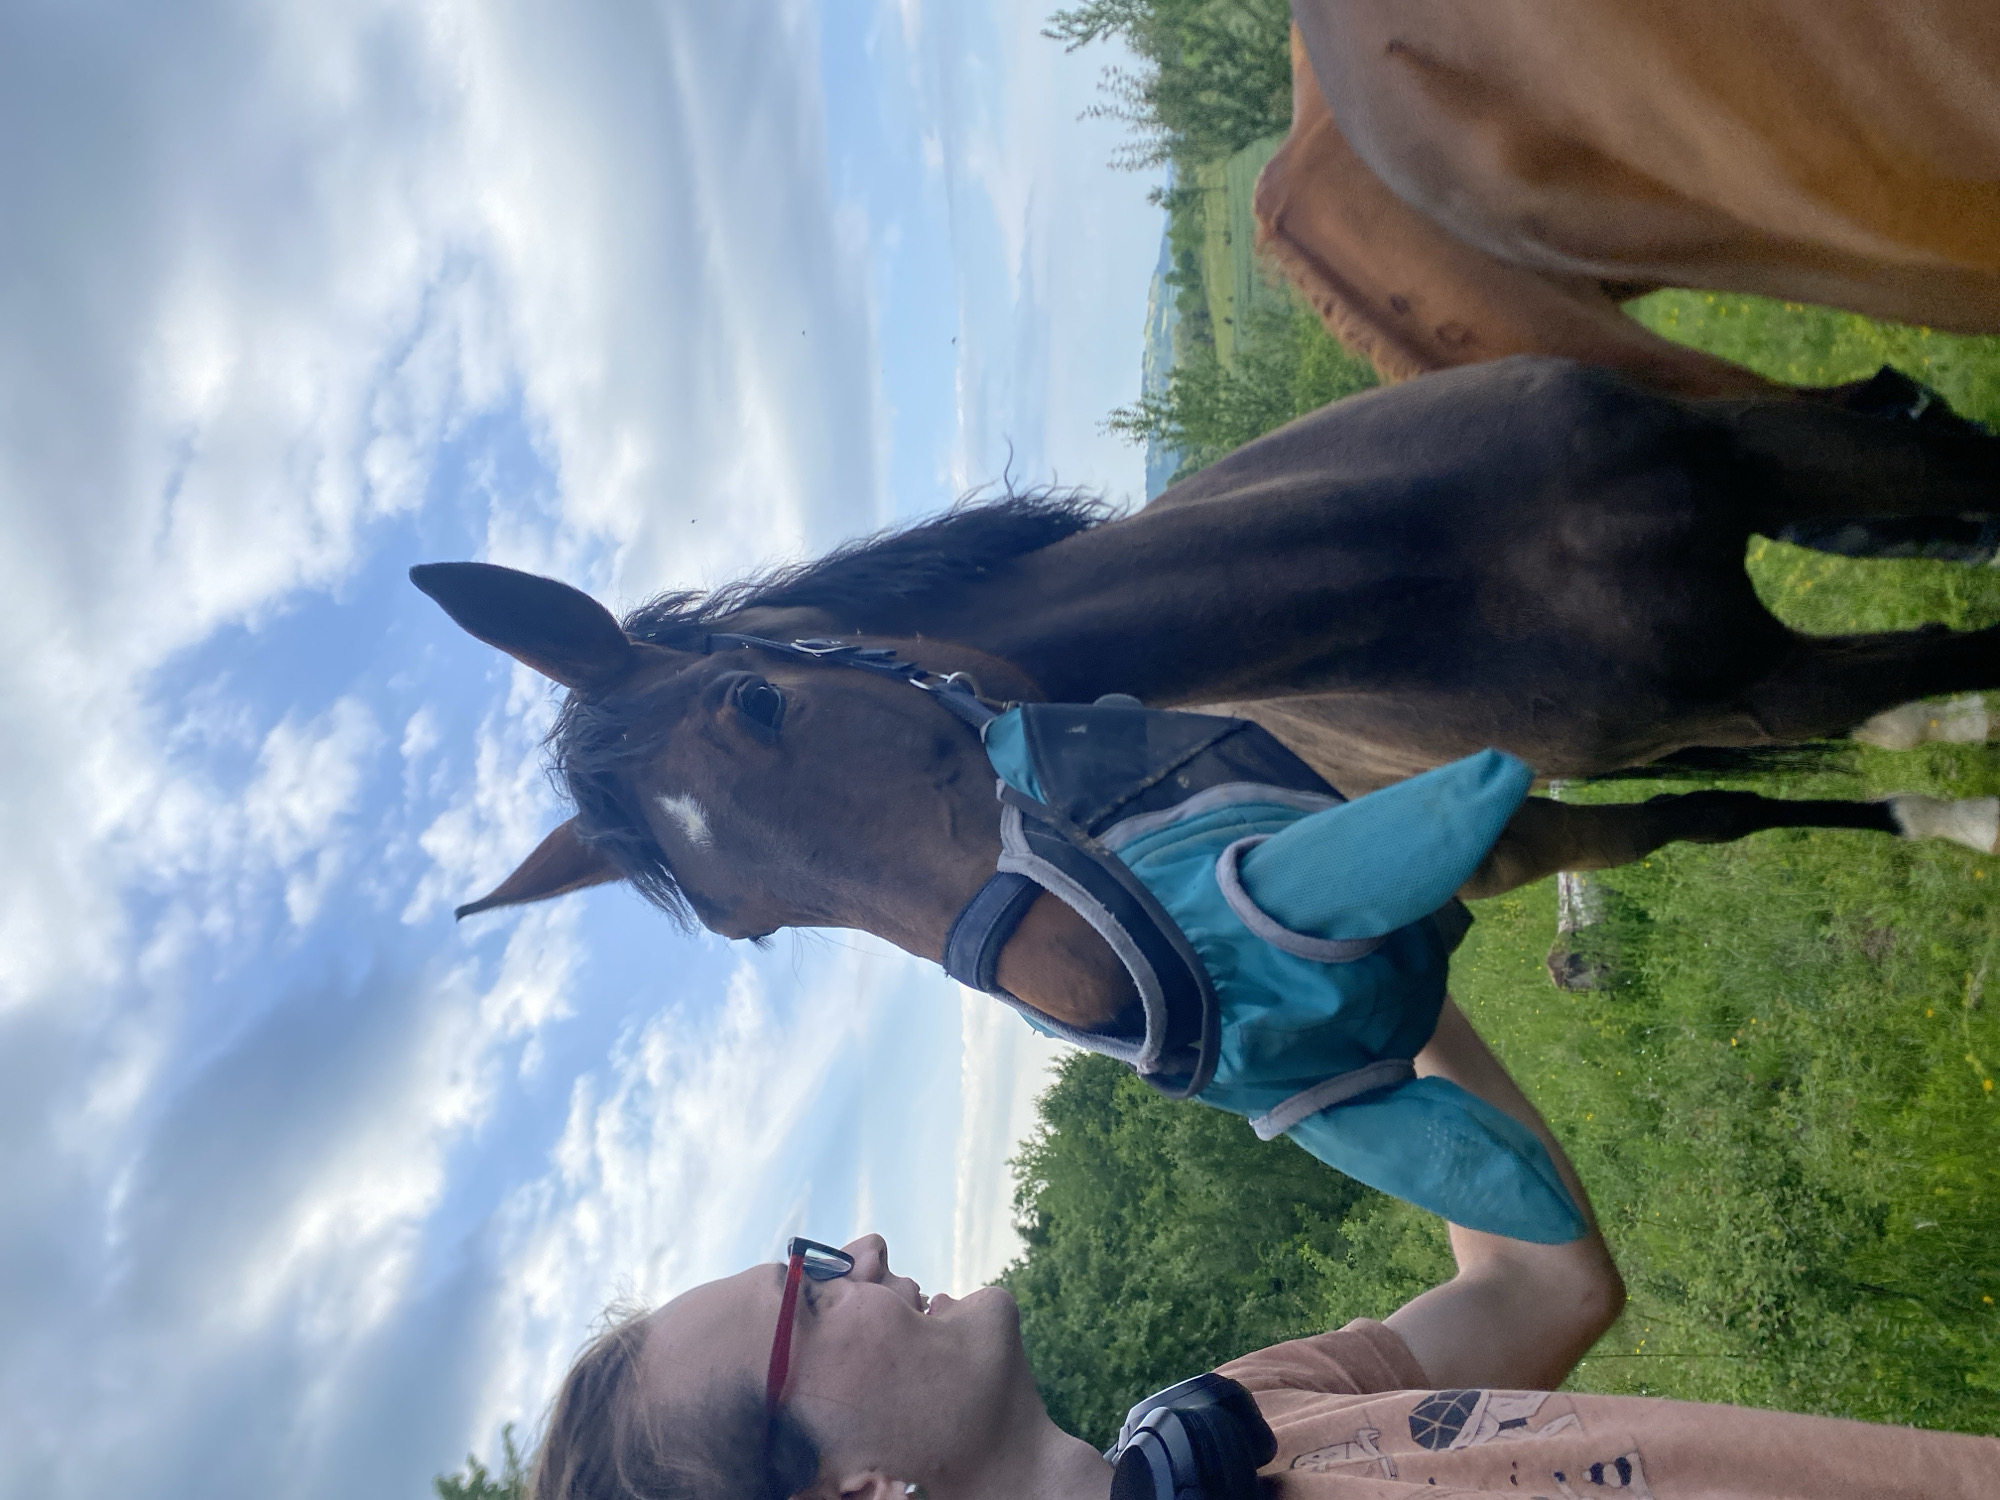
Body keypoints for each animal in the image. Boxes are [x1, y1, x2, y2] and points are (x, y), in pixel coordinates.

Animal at [412, 357, 2000, 1032]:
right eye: (750, 924)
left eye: (758, 704)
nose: (1086, 1003)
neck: (1421, 567)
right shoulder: (1730, 700)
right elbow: (1748, 791)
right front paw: (1948, 803)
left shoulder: (1765, 494)